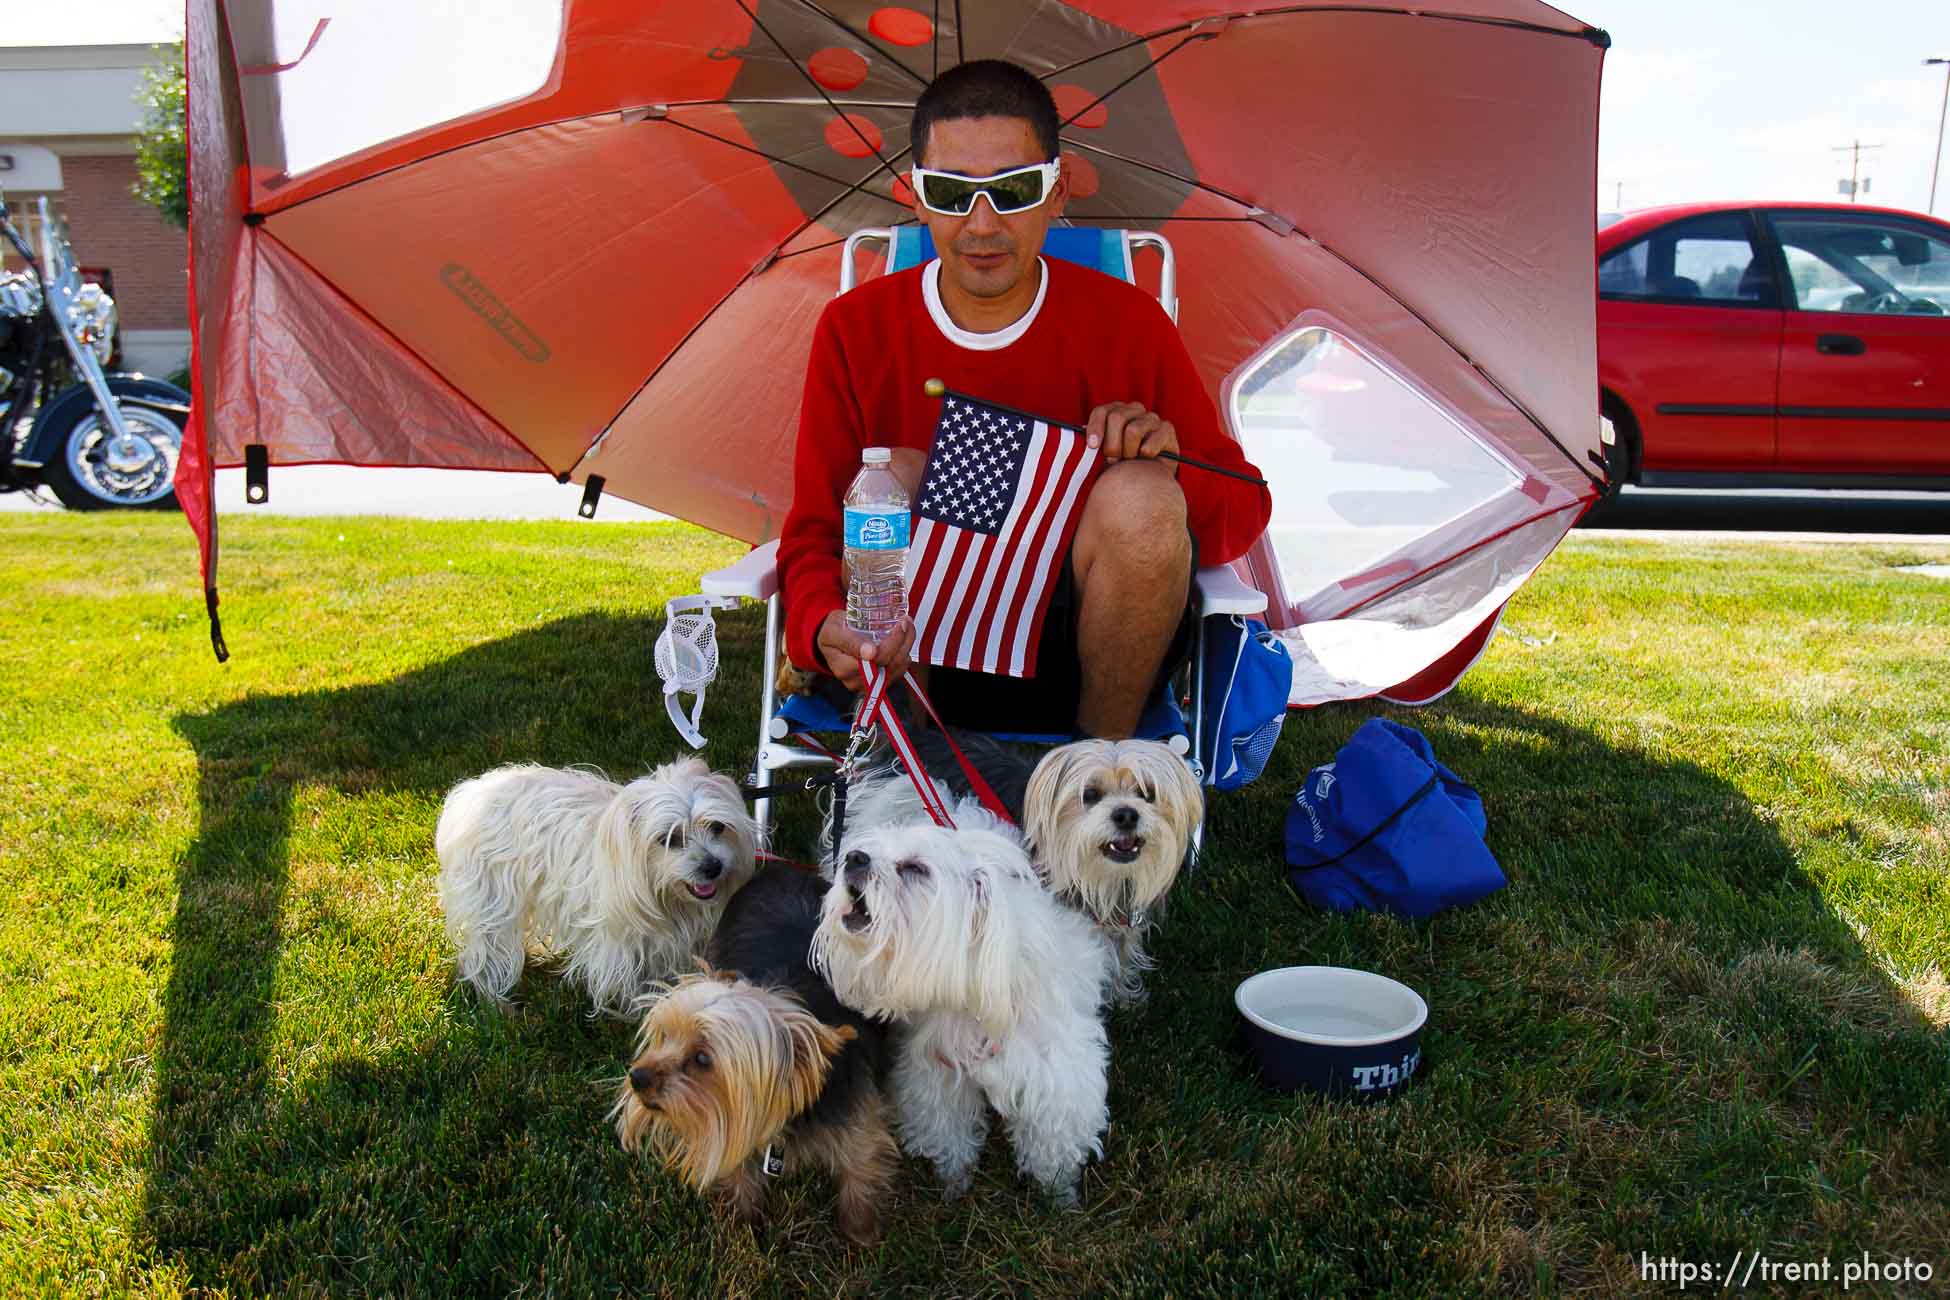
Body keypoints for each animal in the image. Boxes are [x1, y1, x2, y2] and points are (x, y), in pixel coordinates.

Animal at [438, 756, 756, 1021]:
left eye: (717, 827)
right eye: (669, 838)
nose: (713, 866)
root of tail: (471, 792)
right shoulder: (619, 945)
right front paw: (642, 1012)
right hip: (493, 904)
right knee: (484, 954)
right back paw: (496, 1004)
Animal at [811, 764, 1115, 1208]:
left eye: (915, 869)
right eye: (863, 853)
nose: (854, 858)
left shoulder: (1056, 1080)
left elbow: (1052, 1144)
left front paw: (1059, 1195)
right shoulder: (937, 1073)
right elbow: (946, 1132)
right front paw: (955, 1181)